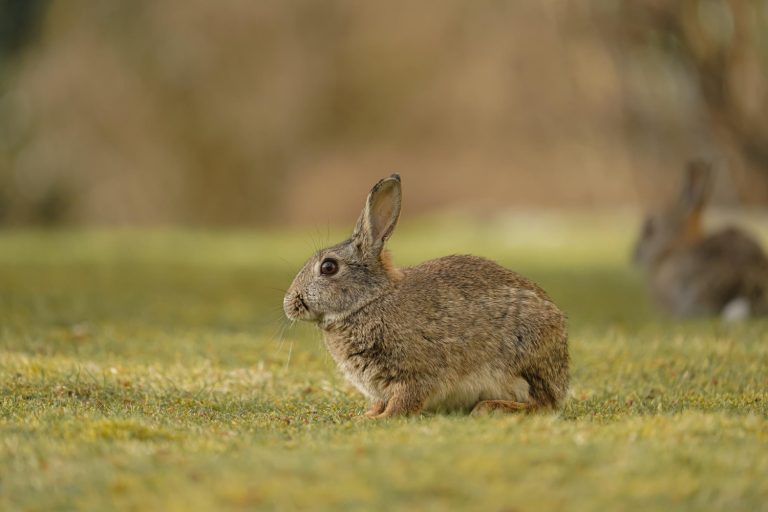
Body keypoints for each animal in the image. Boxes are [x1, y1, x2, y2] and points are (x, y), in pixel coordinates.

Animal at [284, 174, 568, 418]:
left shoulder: (415, 372)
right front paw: (367, 415)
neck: (370, 300)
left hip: (522, 360)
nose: (289, 304)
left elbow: (404, 400)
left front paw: (380, 419)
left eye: (328, 267)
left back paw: (489, 407)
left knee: (543, 404)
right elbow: (379, 402)